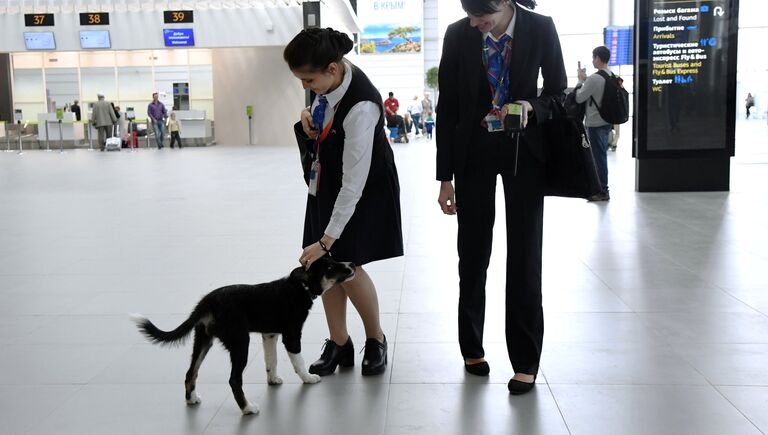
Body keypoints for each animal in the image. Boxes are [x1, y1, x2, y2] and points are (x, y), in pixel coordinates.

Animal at [130, 258, 356, 418]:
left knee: (190, 372)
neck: (301, 287)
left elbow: (271, 361)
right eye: (330, 267)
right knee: (233, 380)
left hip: (203, 340)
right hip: (240, 342)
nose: (352, 264)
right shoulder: (291, 335)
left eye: (334, 259)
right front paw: (309, 378)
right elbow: (298, 362)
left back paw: (192, 398)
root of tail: (207, 303)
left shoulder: (269, 334)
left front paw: (273, 380)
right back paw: (247, 408)